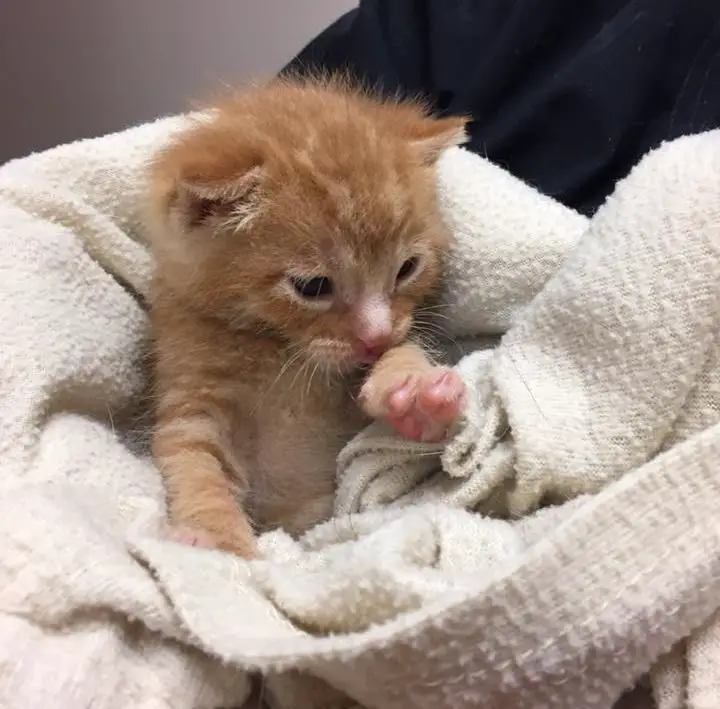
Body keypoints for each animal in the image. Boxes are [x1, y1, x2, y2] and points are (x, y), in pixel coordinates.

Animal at [146, 76, 466, 552]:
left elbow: (403, 352)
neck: (279, 353)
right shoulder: (192, 399)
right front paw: (216, 542)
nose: (376, 337)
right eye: (312, 287)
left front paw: (413, 392)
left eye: (408, 268)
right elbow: (195, 464)